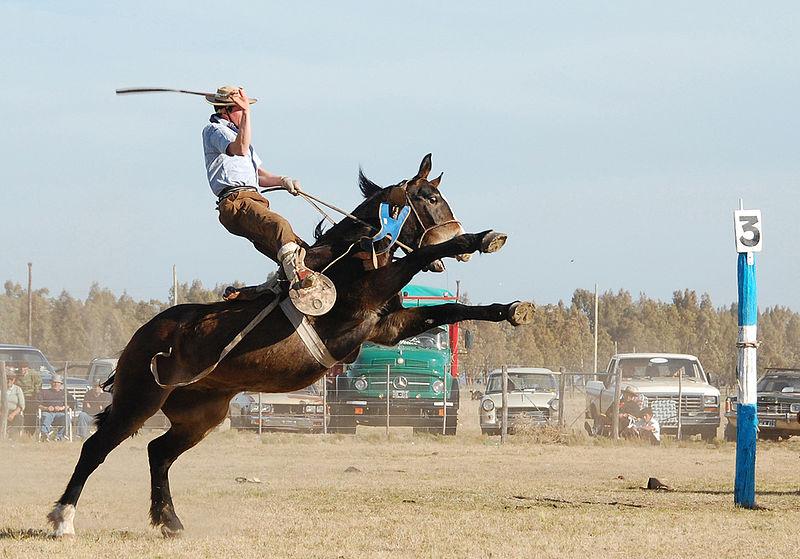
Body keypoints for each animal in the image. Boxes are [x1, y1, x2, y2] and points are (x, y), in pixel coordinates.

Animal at [51, 155, 536, 540]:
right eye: (430, 197)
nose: (456, 235)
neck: (350, 259)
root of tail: (144, 335)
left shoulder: (388, 326)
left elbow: (452, 308)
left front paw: (514, 309)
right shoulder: (363, 306)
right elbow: (415, 259)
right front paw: (478, 239)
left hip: (201, 413)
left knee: (158, 453)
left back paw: (169, 521)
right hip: (140, 398)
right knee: (96, 449)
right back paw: (62, 519)